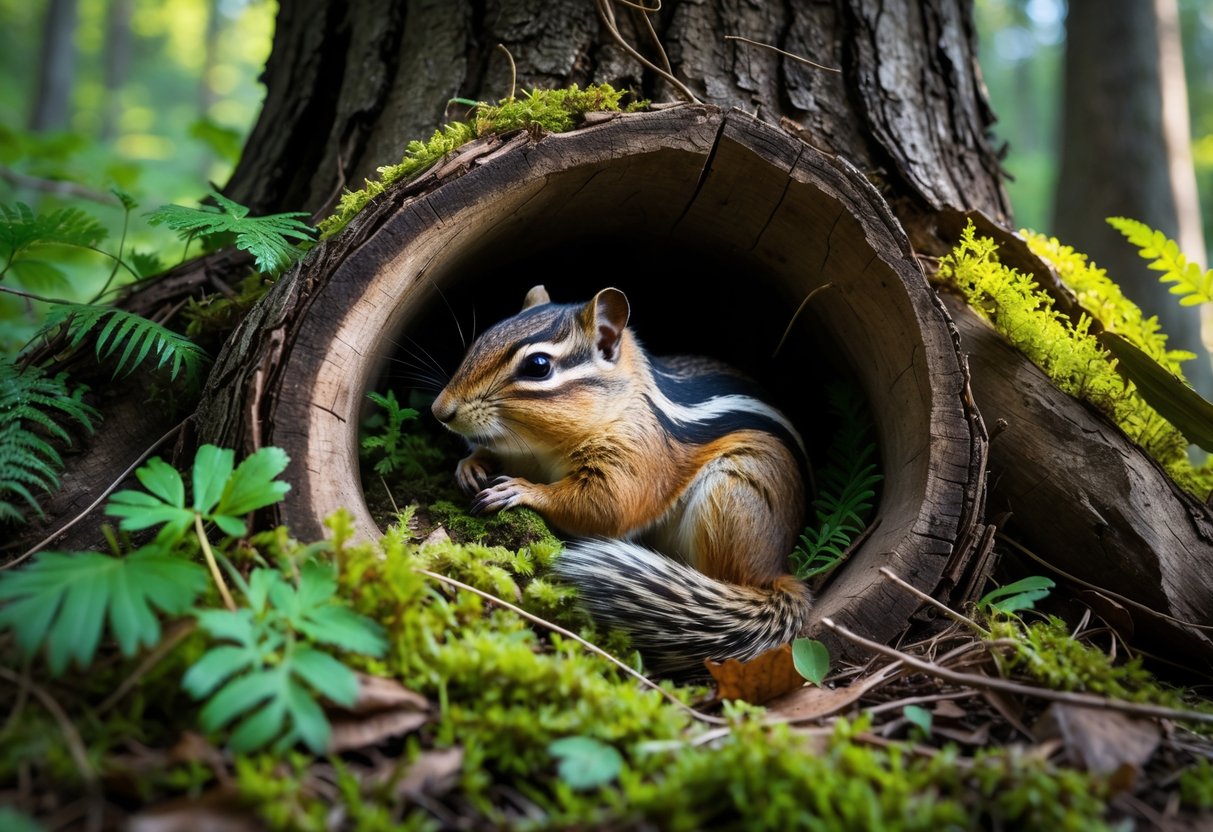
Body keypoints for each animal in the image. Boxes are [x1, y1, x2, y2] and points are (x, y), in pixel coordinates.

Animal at [431, 285, 811, 675]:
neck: (541, 448)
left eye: (538, 366)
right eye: (483, 338)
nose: (439, 410)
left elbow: (608, 508)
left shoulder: (638, 454)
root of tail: (776, 569)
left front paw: (522, 490)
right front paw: (470, 464)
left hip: (733, 497)